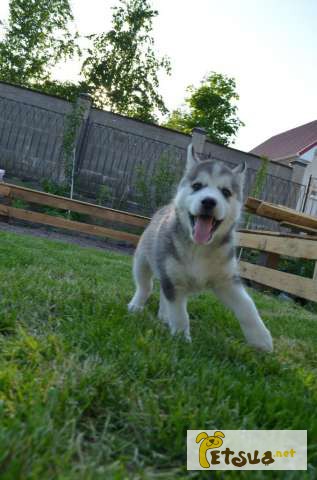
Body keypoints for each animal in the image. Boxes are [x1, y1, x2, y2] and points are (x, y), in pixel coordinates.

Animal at [128, 143, 272, 352]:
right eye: (197, 186)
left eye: (226, 192)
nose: (209, 201)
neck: (199, 248)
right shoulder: (173, 280)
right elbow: (180, 313)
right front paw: (181, 338)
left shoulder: (226, 280)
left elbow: (247, 306)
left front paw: (262, 340)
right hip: (143, 262)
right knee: (146, 286)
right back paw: (136, 306)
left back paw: (163, 315)